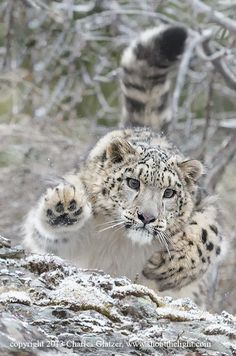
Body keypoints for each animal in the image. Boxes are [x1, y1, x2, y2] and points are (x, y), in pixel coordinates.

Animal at [23, 25, 224, 308]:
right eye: (133, 182)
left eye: (169, 193)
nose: (147, 217)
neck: (121, 243)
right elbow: (45, 232)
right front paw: (64, 204)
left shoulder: (207, 206)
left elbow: (208, 234)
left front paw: (172, 264)